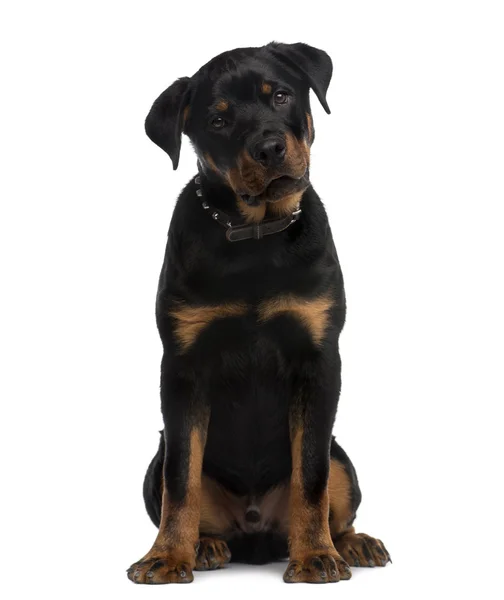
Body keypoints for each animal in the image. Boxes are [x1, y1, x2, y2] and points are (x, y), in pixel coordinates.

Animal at [126, 41, 390, 580]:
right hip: (153, 463)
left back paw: (350, 544)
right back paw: (204, 546)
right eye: (218, 120)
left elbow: (310, 475)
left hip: (343, 457)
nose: (269, 148)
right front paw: (166, 556)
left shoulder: (318, 361)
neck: (254, 235)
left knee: (334, 496)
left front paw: (316, 557)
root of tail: (257, 536)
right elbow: (181, 480)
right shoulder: (183, 367)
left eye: (282, 96)